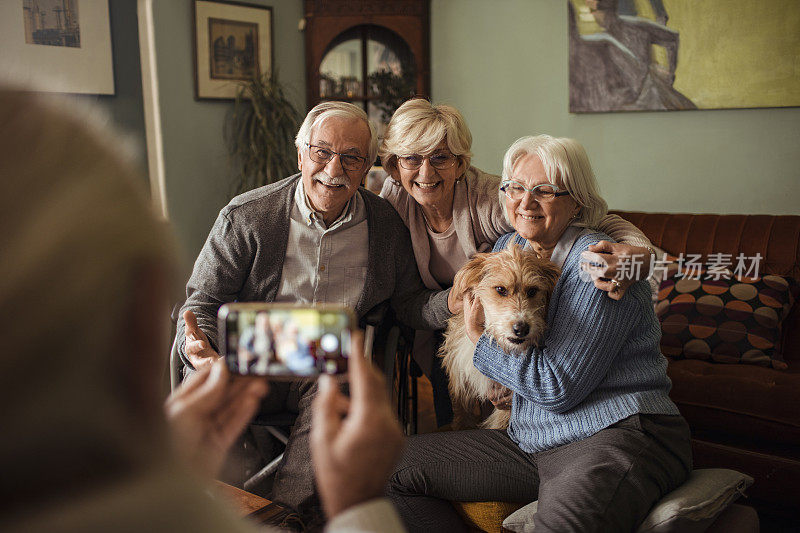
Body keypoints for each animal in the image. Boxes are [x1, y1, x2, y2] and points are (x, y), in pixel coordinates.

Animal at [438, 245, 564, 428]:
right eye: (500, 290)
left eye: (532, 291)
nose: (521, 328)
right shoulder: (460, 386)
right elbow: (462, 418)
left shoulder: (505, 407)